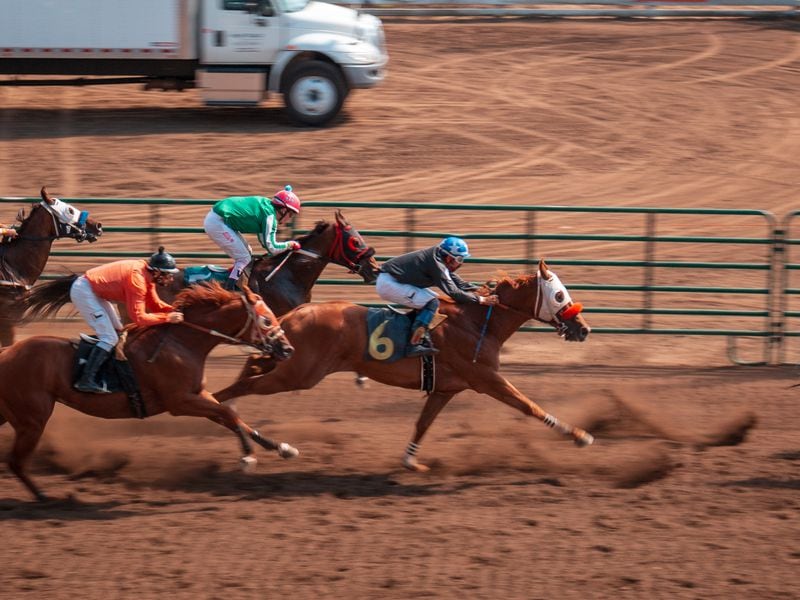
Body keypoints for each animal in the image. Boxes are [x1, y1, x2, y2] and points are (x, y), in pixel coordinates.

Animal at [0, 282, 296, 502]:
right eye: (266, 320)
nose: (288, 349)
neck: (182, 343)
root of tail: (6, 353)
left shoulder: (197, 394)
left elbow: (232, 417)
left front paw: (281, 447)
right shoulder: (180, 402)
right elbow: (228, 413)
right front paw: (247, 457)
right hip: (32, 420)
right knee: (15, 461)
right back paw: (44, 497)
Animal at [216, 260, 596, 472]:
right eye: (559, 295)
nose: (583, 329)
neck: (477, 322)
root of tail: (294, 313)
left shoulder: (445, 389)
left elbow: (422, 424)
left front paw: (410, 460)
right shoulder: (487, 379)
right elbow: (528, 405)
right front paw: (579, 435)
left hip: (293, 364)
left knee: (252, 365)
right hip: (300, 374)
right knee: (244, 384)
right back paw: (226, 412)